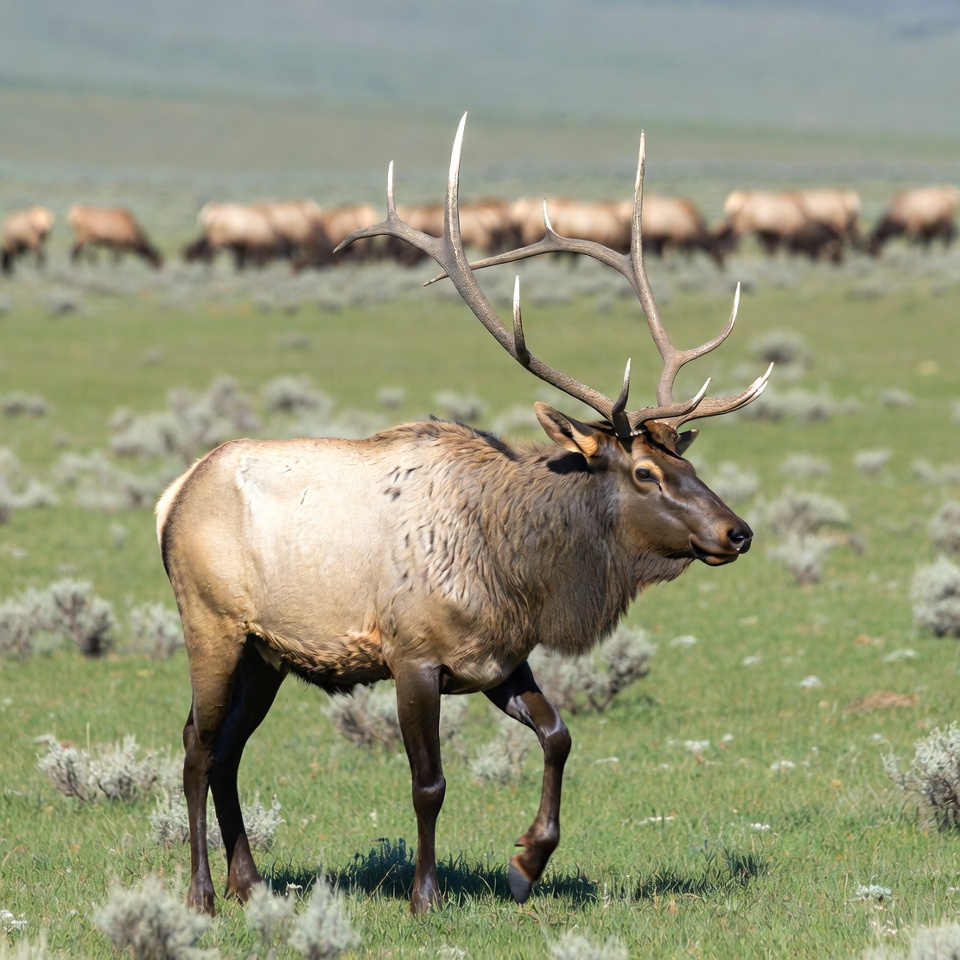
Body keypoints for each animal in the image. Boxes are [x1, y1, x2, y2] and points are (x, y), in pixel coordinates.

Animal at [156, 114, 772, 917]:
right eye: (644, 471)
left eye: (689, 464)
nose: (738, 531)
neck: (516, 569)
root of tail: (172, 496)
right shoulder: (412, 656)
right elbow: (429, 783)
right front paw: (427, 894)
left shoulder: (500, 659)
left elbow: (559, 735)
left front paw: (526, 862)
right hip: (213, 625)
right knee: (196, 744)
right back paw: (200, 892)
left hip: (269, 654)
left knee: (228, 749)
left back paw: (249, 881)